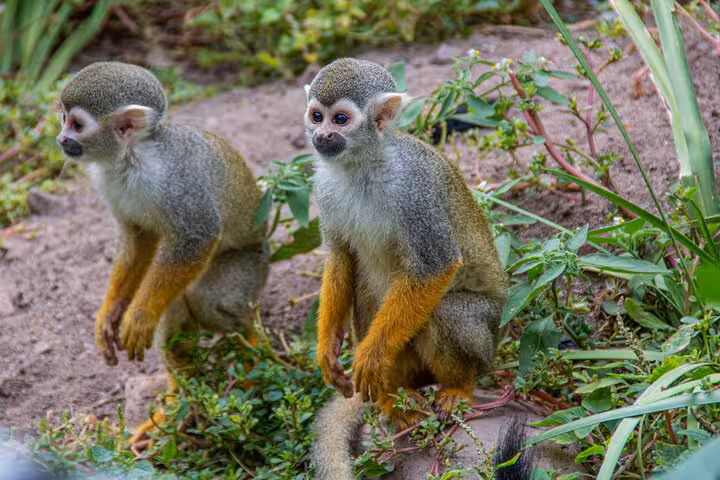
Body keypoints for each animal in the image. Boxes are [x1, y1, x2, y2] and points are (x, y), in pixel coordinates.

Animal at [55, 61, 269, 445]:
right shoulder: (107, 180)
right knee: (177, 309)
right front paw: (110, 312)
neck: (131, 158)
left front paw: (138, 316)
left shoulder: (174, 181)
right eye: (62, 118)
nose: (61, 139)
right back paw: (177, 404)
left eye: (77, 124)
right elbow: (137, 239)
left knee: (210, 299)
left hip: (253, 263)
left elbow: (198, 235)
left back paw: (253, 362)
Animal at [304, 58, 508, 479]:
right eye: (316, 116)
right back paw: (393, 401)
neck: (361, 166)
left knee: (448, 313)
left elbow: (436, 265)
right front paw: (327, 347)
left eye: (341, 119)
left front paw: (371, 356)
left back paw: (458, 387)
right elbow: (340, 257)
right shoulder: (324, 188)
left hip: (489, 340)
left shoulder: (415, 189)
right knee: (367, 293)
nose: (322, 135)